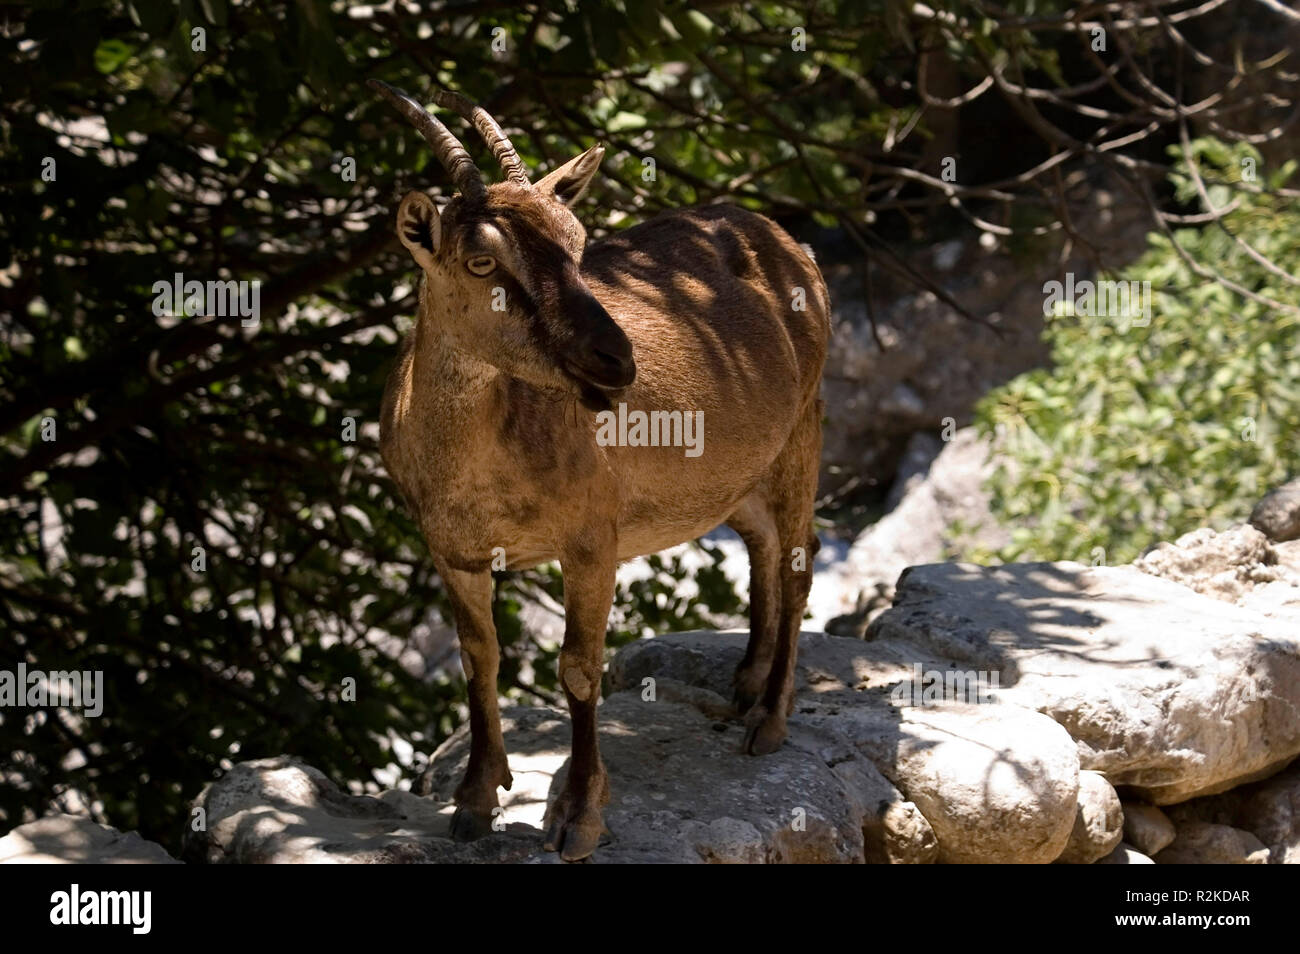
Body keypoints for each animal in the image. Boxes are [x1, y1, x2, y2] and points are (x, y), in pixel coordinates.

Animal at [371, 78, 826, 863]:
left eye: (579, 244)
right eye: (482, 261)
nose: (615, 360)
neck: (474, 468)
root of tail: (788, 243)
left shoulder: (591, 540)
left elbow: (578, 668)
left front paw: (579, 816)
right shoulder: (451, 550)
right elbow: (478, 657)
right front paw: (474, 799)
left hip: (807, 422)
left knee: (800, 560)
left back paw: (767, 721)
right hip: (742, 473)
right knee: (764, 546)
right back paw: (745, 681)